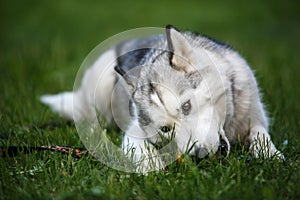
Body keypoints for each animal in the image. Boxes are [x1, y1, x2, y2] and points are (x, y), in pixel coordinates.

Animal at [41, 25, 284, 172]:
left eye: (186, 106)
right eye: (165, 129)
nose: (199, 155)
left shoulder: (255, 117)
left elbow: (260, 135)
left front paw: (271, 155)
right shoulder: (134, 129)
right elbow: (139, 149)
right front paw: (151, 166)